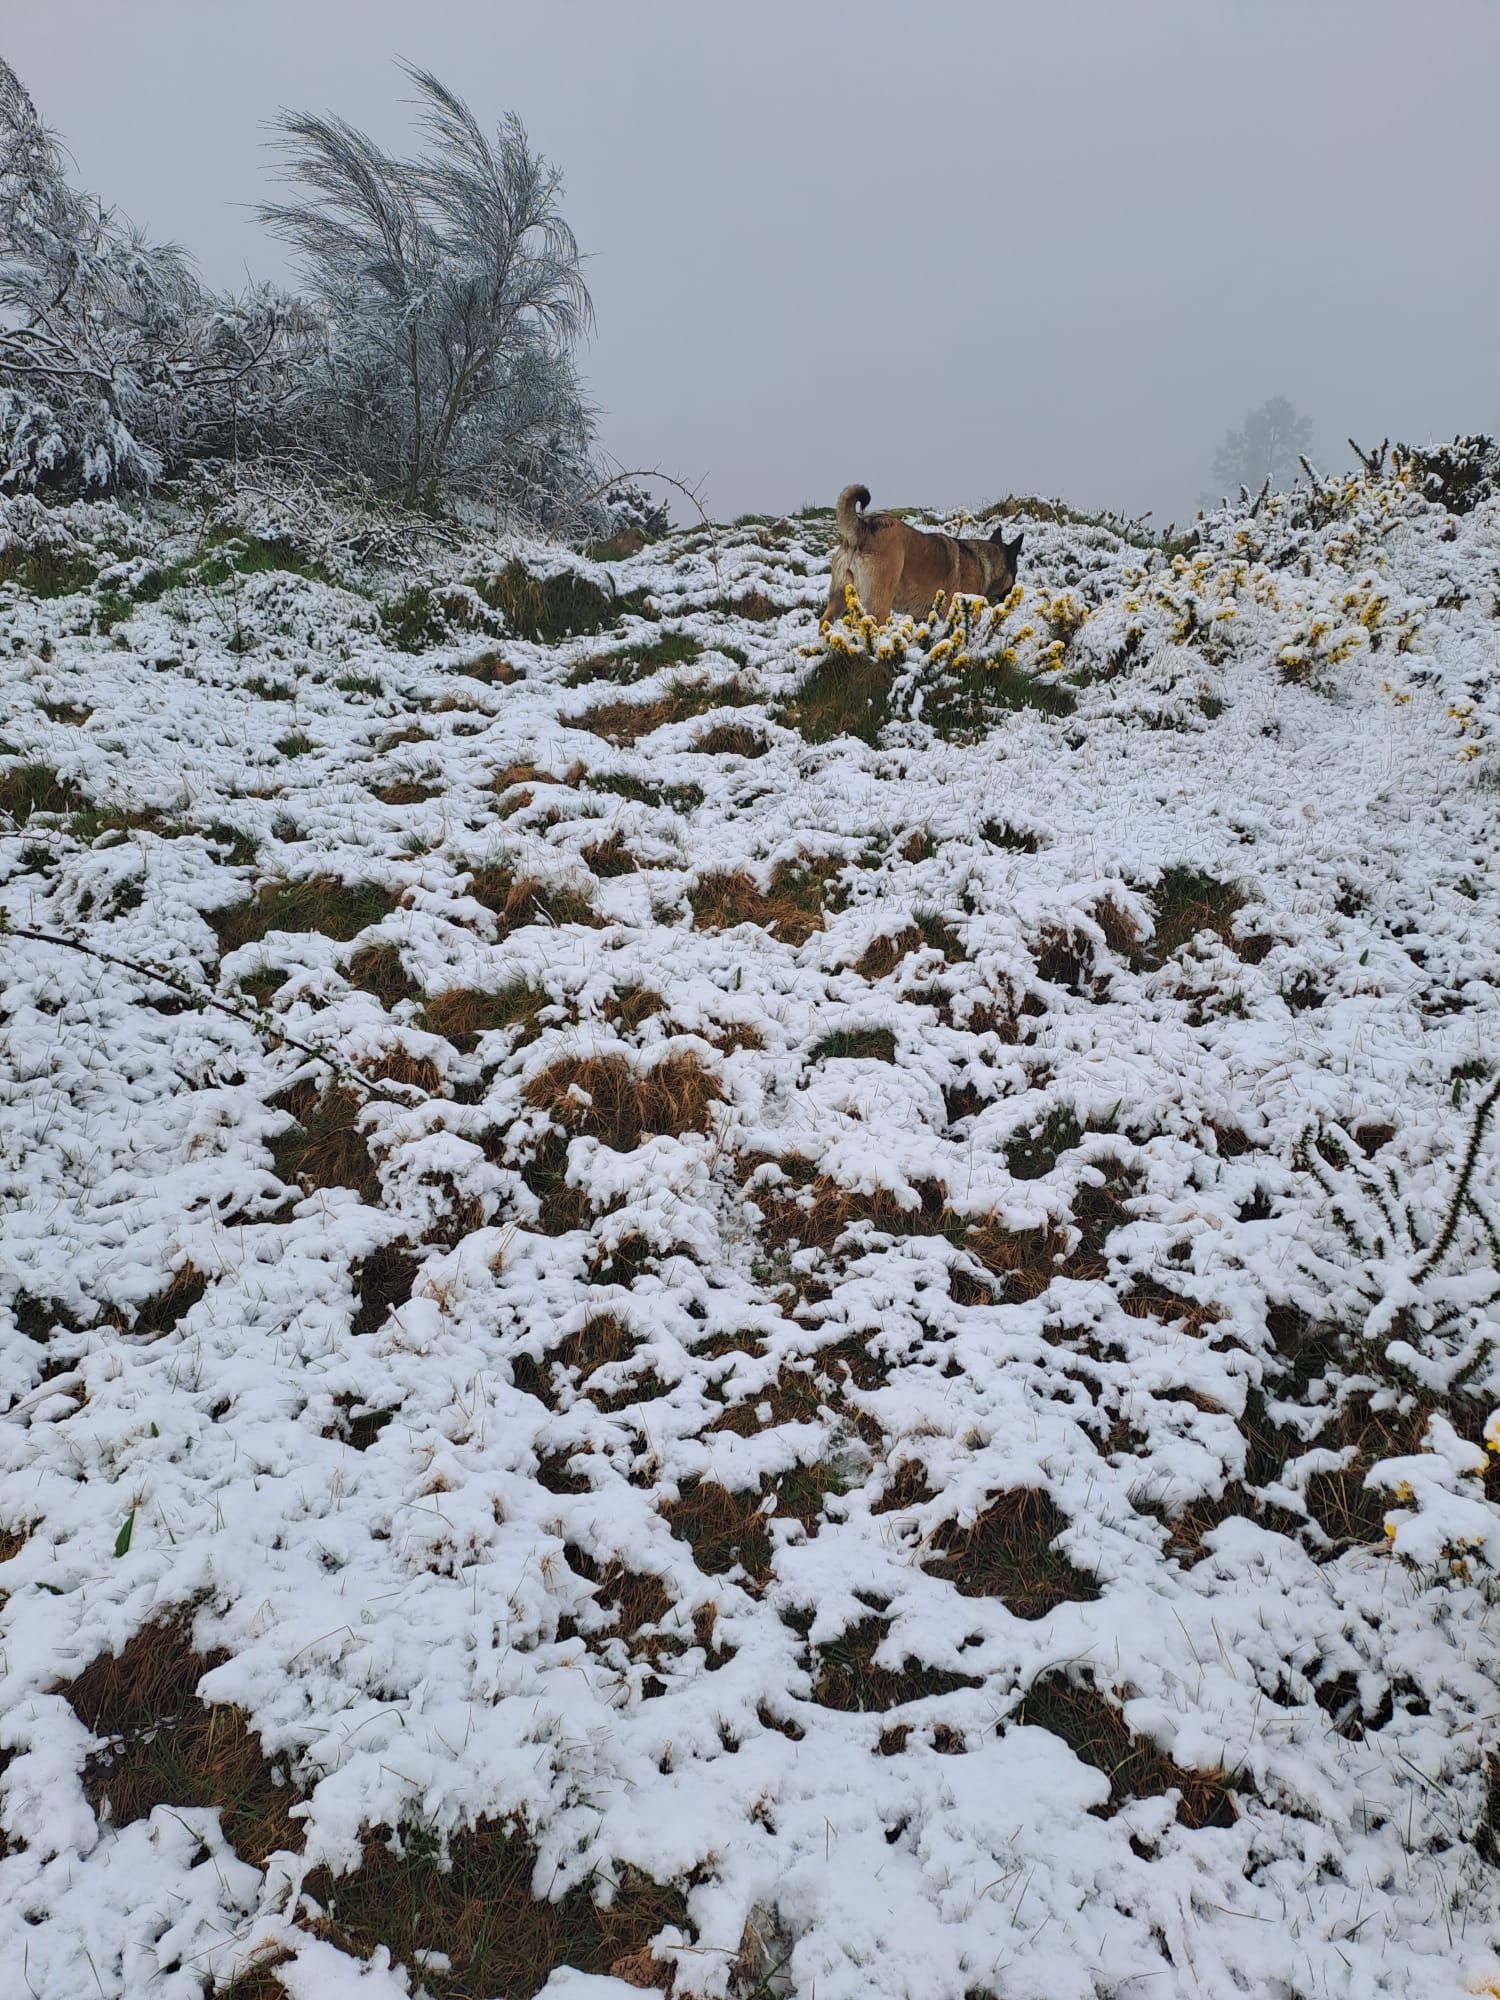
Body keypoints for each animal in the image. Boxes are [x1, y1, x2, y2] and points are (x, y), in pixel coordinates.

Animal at [828, 484, 1032, 624]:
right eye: (1015, 573)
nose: (1013, 595)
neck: (983, 562)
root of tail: (863, 527)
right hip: (879, 606)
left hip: (838, 600)